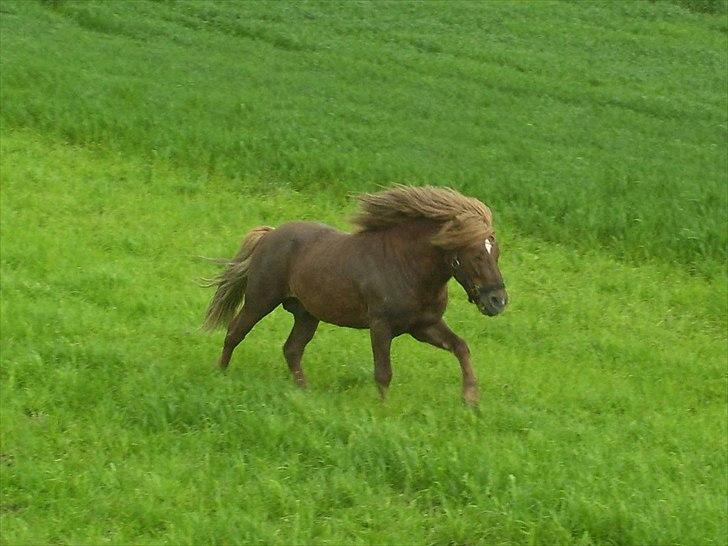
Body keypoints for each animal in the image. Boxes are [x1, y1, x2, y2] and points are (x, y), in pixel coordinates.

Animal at [202, 185, 510, 402]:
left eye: (495, 252)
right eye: (475, 255)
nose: (498, 301)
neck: (406, 266)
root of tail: (270, 234)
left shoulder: (424, 326)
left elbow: (461, 347)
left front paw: (470, 399)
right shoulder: (381, 325)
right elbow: (383, 373)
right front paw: (383, 410)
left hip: (306, 314)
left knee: (292, 349)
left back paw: (305, 391)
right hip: (260, 301)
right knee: (235, 332)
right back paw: (220, 374)